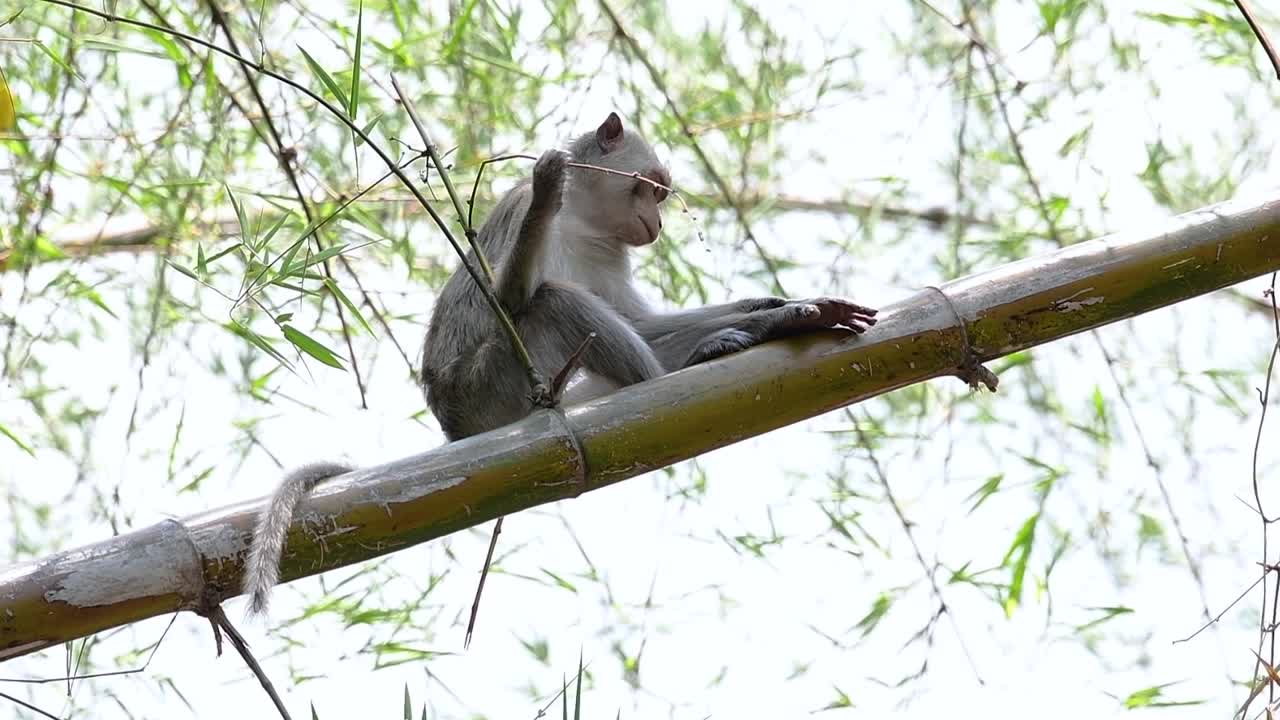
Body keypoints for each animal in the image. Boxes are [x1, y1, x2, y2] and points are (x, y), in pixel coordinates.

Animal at [241, 112, 877, 617]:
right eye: (651, 190)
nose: (658, 225)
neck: (583, 222)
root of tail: (455, 430)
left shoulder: (610, 252)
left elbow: (640, 322)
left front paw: (778, 311)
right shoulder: (523, 214)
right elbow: (510, 297)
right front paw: (549, 185)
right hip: (490, 386)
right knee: (551, 301)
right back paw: (669, 376)